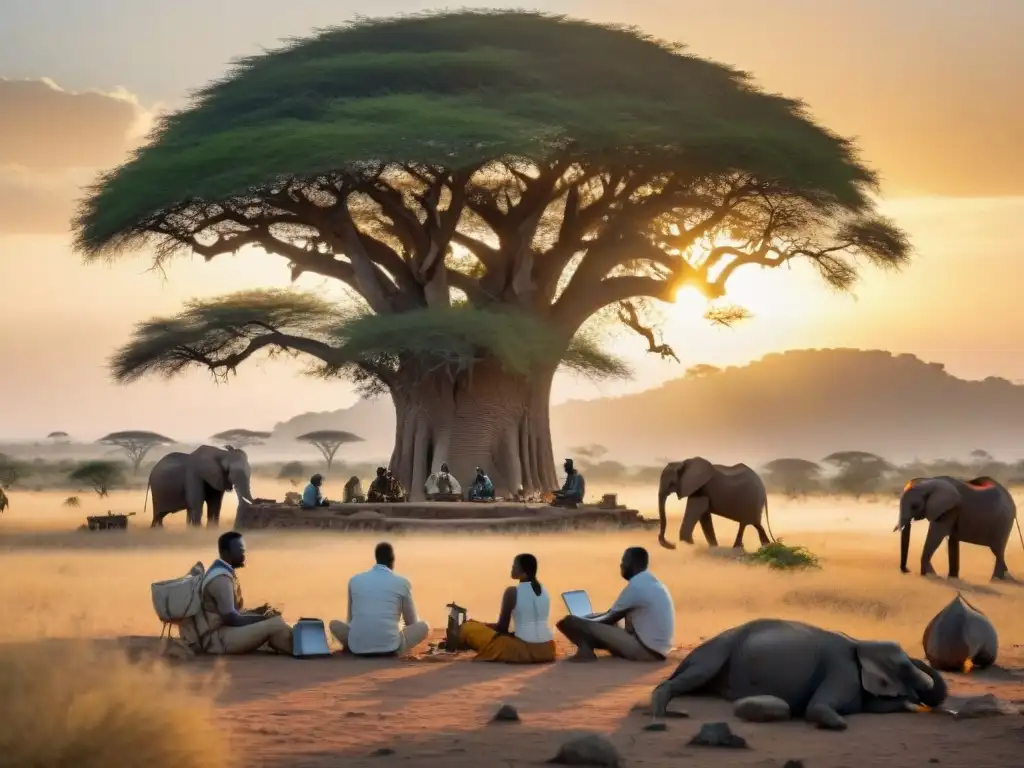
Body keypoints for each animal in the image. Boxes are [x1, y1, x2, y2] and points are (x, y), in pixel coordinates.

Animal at [651, 618, 946, 729]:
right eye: (906, 668)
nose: (920, 659)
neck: (862, 642)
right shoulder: (841, 668)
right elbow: (817, 708)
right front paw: (840, 723)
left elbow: (871, 706)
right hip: (717, 651)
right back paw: (664, 714)